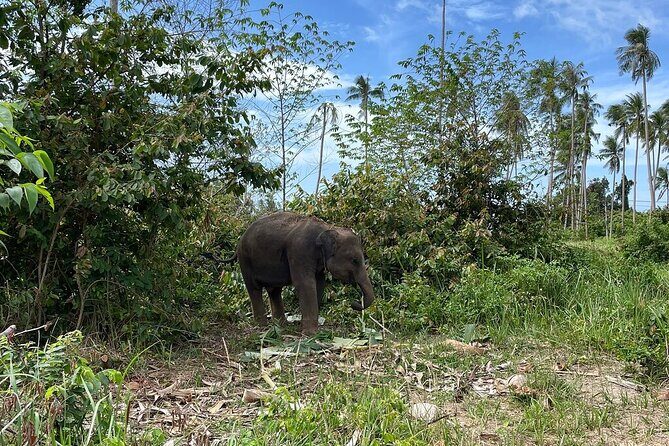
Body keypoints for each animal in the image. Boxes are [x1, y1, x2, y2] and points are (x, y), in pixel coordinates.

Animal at [222, 212, 374, 334]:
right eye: (355, 261)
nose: (354, 304)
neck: (327, 228)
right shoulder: (300, 251)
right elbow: (304, 283)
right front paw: (310, 333)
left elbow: (319, 284)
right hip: (245, 260)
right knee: (254, 289)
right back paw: (262, 326)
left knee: (274, 291)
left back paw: (281, 326)